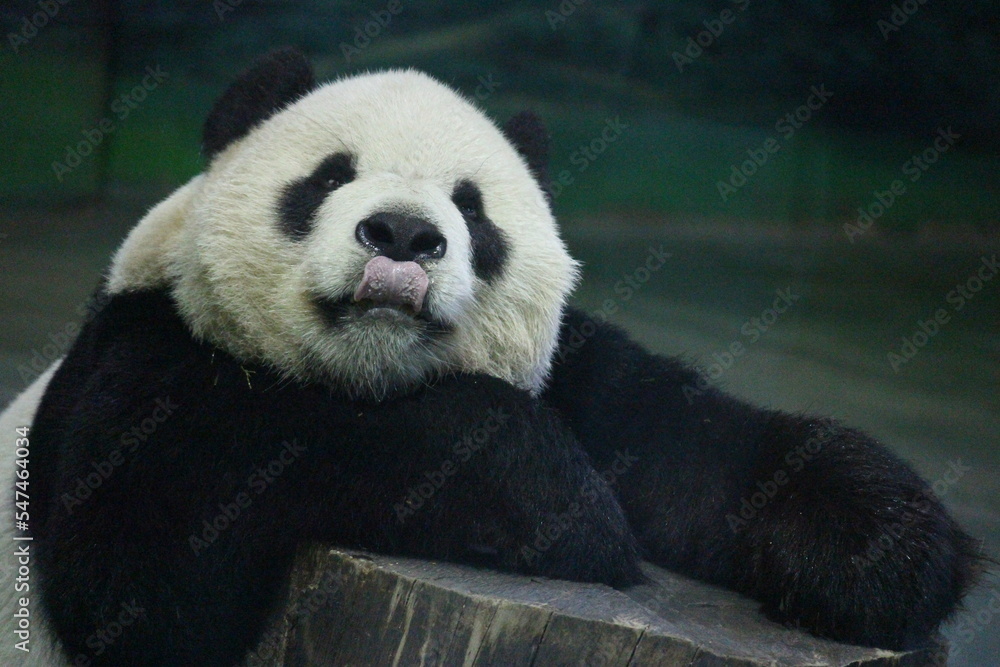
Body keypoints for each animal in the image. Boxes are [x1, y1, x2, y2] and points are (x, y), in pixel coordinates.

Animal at [0, 48, 981, 664]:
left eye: (473, 208)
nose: (403, 234)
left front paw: (884, 549)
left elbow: (691, 442)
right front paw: (552, 497)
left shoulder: (575, 369)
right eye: (329, 176)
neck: (370, 378)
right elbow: (141, 577)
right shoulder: (138, 357)